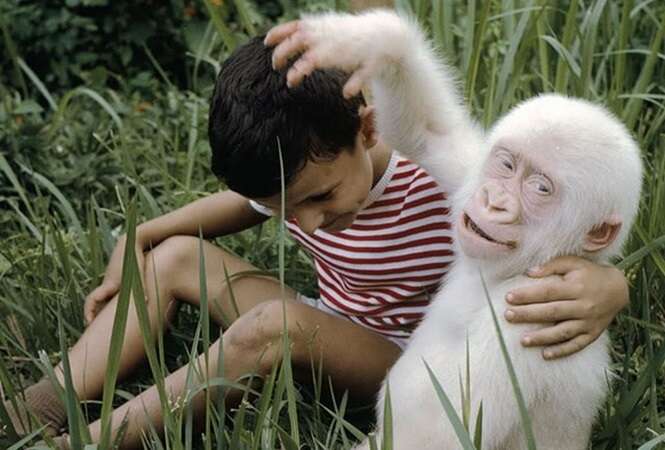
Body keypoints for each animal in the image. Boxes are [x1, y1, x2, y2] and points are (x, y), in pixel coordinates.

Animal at [264, 7, 644, 450]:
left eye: (540, 188)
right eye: (506, 164)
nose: (495, 201)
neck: (505, 275)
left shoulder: (527, 326)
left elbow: (441, 434)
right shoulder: (468, 171)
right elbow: (430, 133)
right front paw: (363, 41)